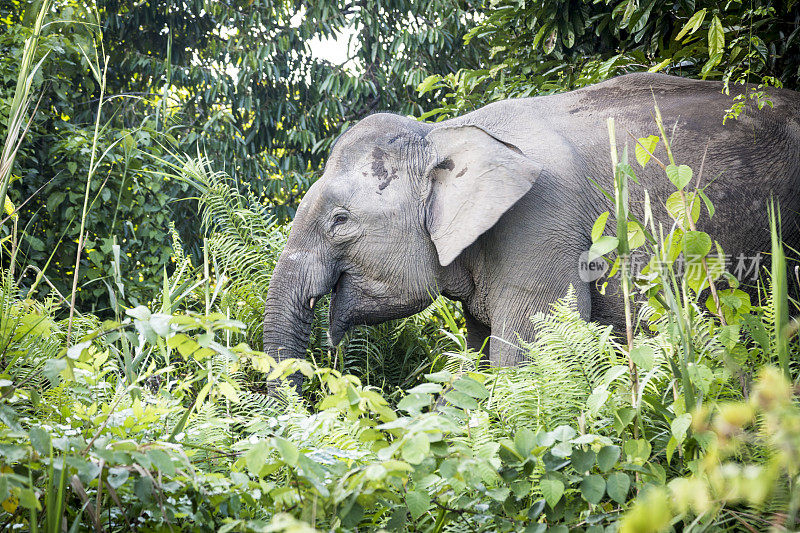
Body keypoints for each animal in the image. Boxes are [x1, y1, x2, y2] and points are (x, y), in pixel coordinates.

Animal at [264, 71, 800, 378]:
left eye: (340, 221)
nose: (331, 367)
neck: (444, 133)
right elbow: (480, 360)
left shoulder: (542, 228)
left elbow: (521, 362)